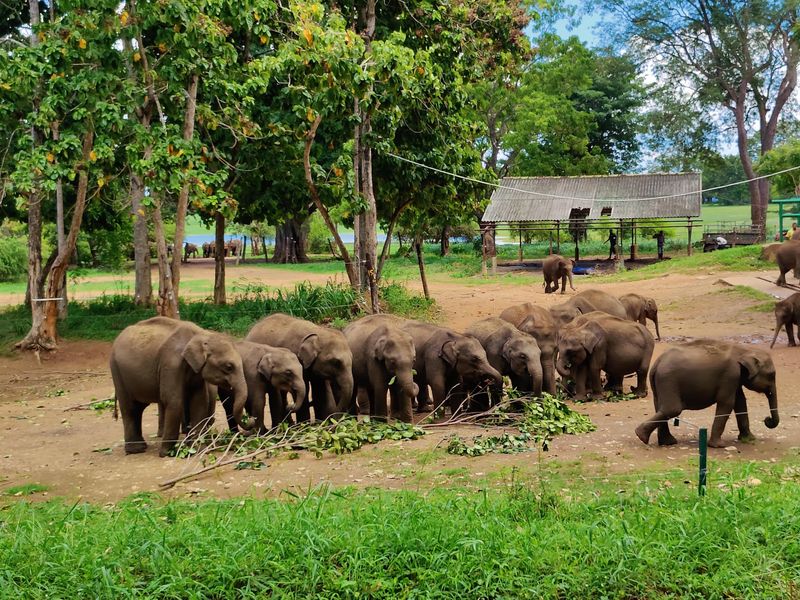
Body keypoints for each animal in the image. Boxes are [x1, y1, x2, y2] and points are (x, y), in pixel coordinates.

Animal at [110, 317, 250, 456]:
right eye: (229, 367)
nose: (251, 421)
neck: (201, 334)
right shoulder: (170, 364)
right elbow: (173, 400)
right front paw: (166, 453)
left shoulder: (195, 371)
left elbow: (199, 401)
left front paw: (198, 449)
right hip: (116, 371)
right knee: (129, 407)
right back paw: (136, 450)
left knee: (138, 408)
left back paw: (140, 447)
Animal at [635, 339, 779, 448]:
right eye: (771, 375)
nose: (767, 420)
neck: (744, 350)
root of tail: (657, 362)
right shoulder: (731, 375)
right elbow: (727, 402)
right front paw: (719, 445)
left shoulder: (736, 378)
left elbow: (740, 402)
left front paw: (750, 439)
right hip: (668, 380)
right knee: (672, 409)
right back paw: (641, 436)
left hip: (660, 383)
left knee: (660, 407)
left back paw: (666, 442)